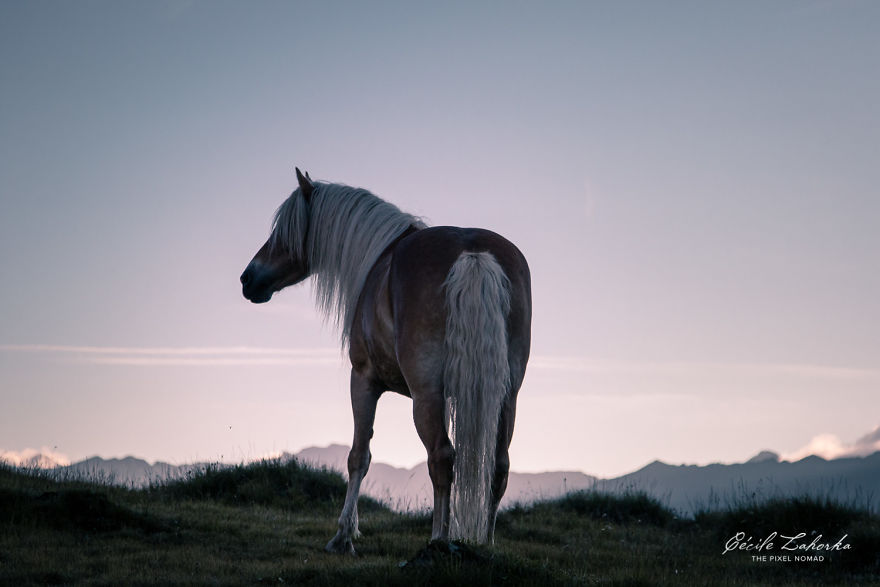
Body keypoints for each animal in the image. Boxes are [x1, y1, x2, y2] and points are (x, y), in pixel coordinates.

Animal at [240, 169, 531, 554]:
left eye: (283, 231)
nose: (248, 278)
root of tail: (472, 254)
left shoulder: (363, 379)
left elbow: (358, 456)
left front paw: (344, 536)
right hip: (505, 397)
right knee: (498, 465)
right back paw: (485, 543)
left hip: (426, 397)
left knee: (441, 457)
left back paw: (438, 540)